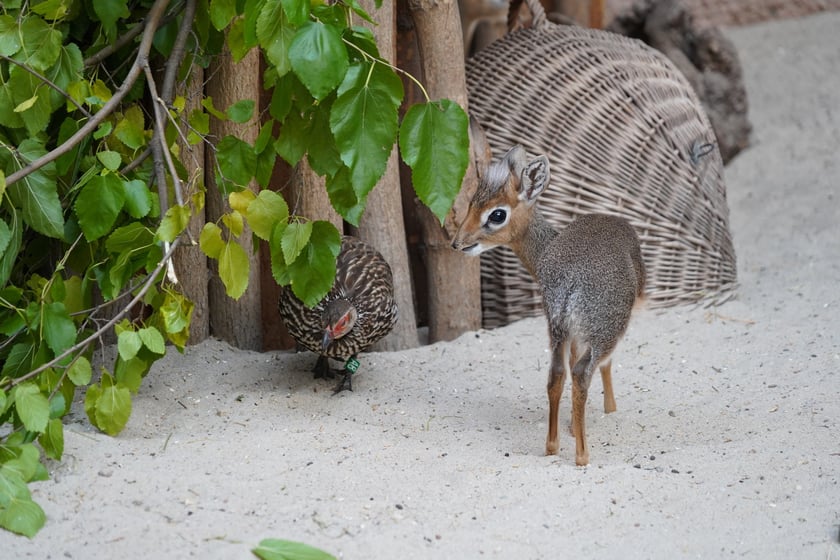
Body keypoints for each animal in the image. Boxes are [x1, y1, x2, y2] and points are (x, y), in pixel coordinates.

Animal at [452, 143, 644, 464]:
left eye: (497, 213)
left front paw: (571, 428)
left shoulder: (569, 332)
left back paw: (552, 446)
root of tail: (571, 282)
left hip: (557, 328)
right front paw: (609, 410)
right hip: (607, 330)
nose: (458, 242)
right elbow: (604, 366)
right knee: (583, 373)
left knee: (556, 374)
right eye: (472, 204)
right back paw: (582, 455)